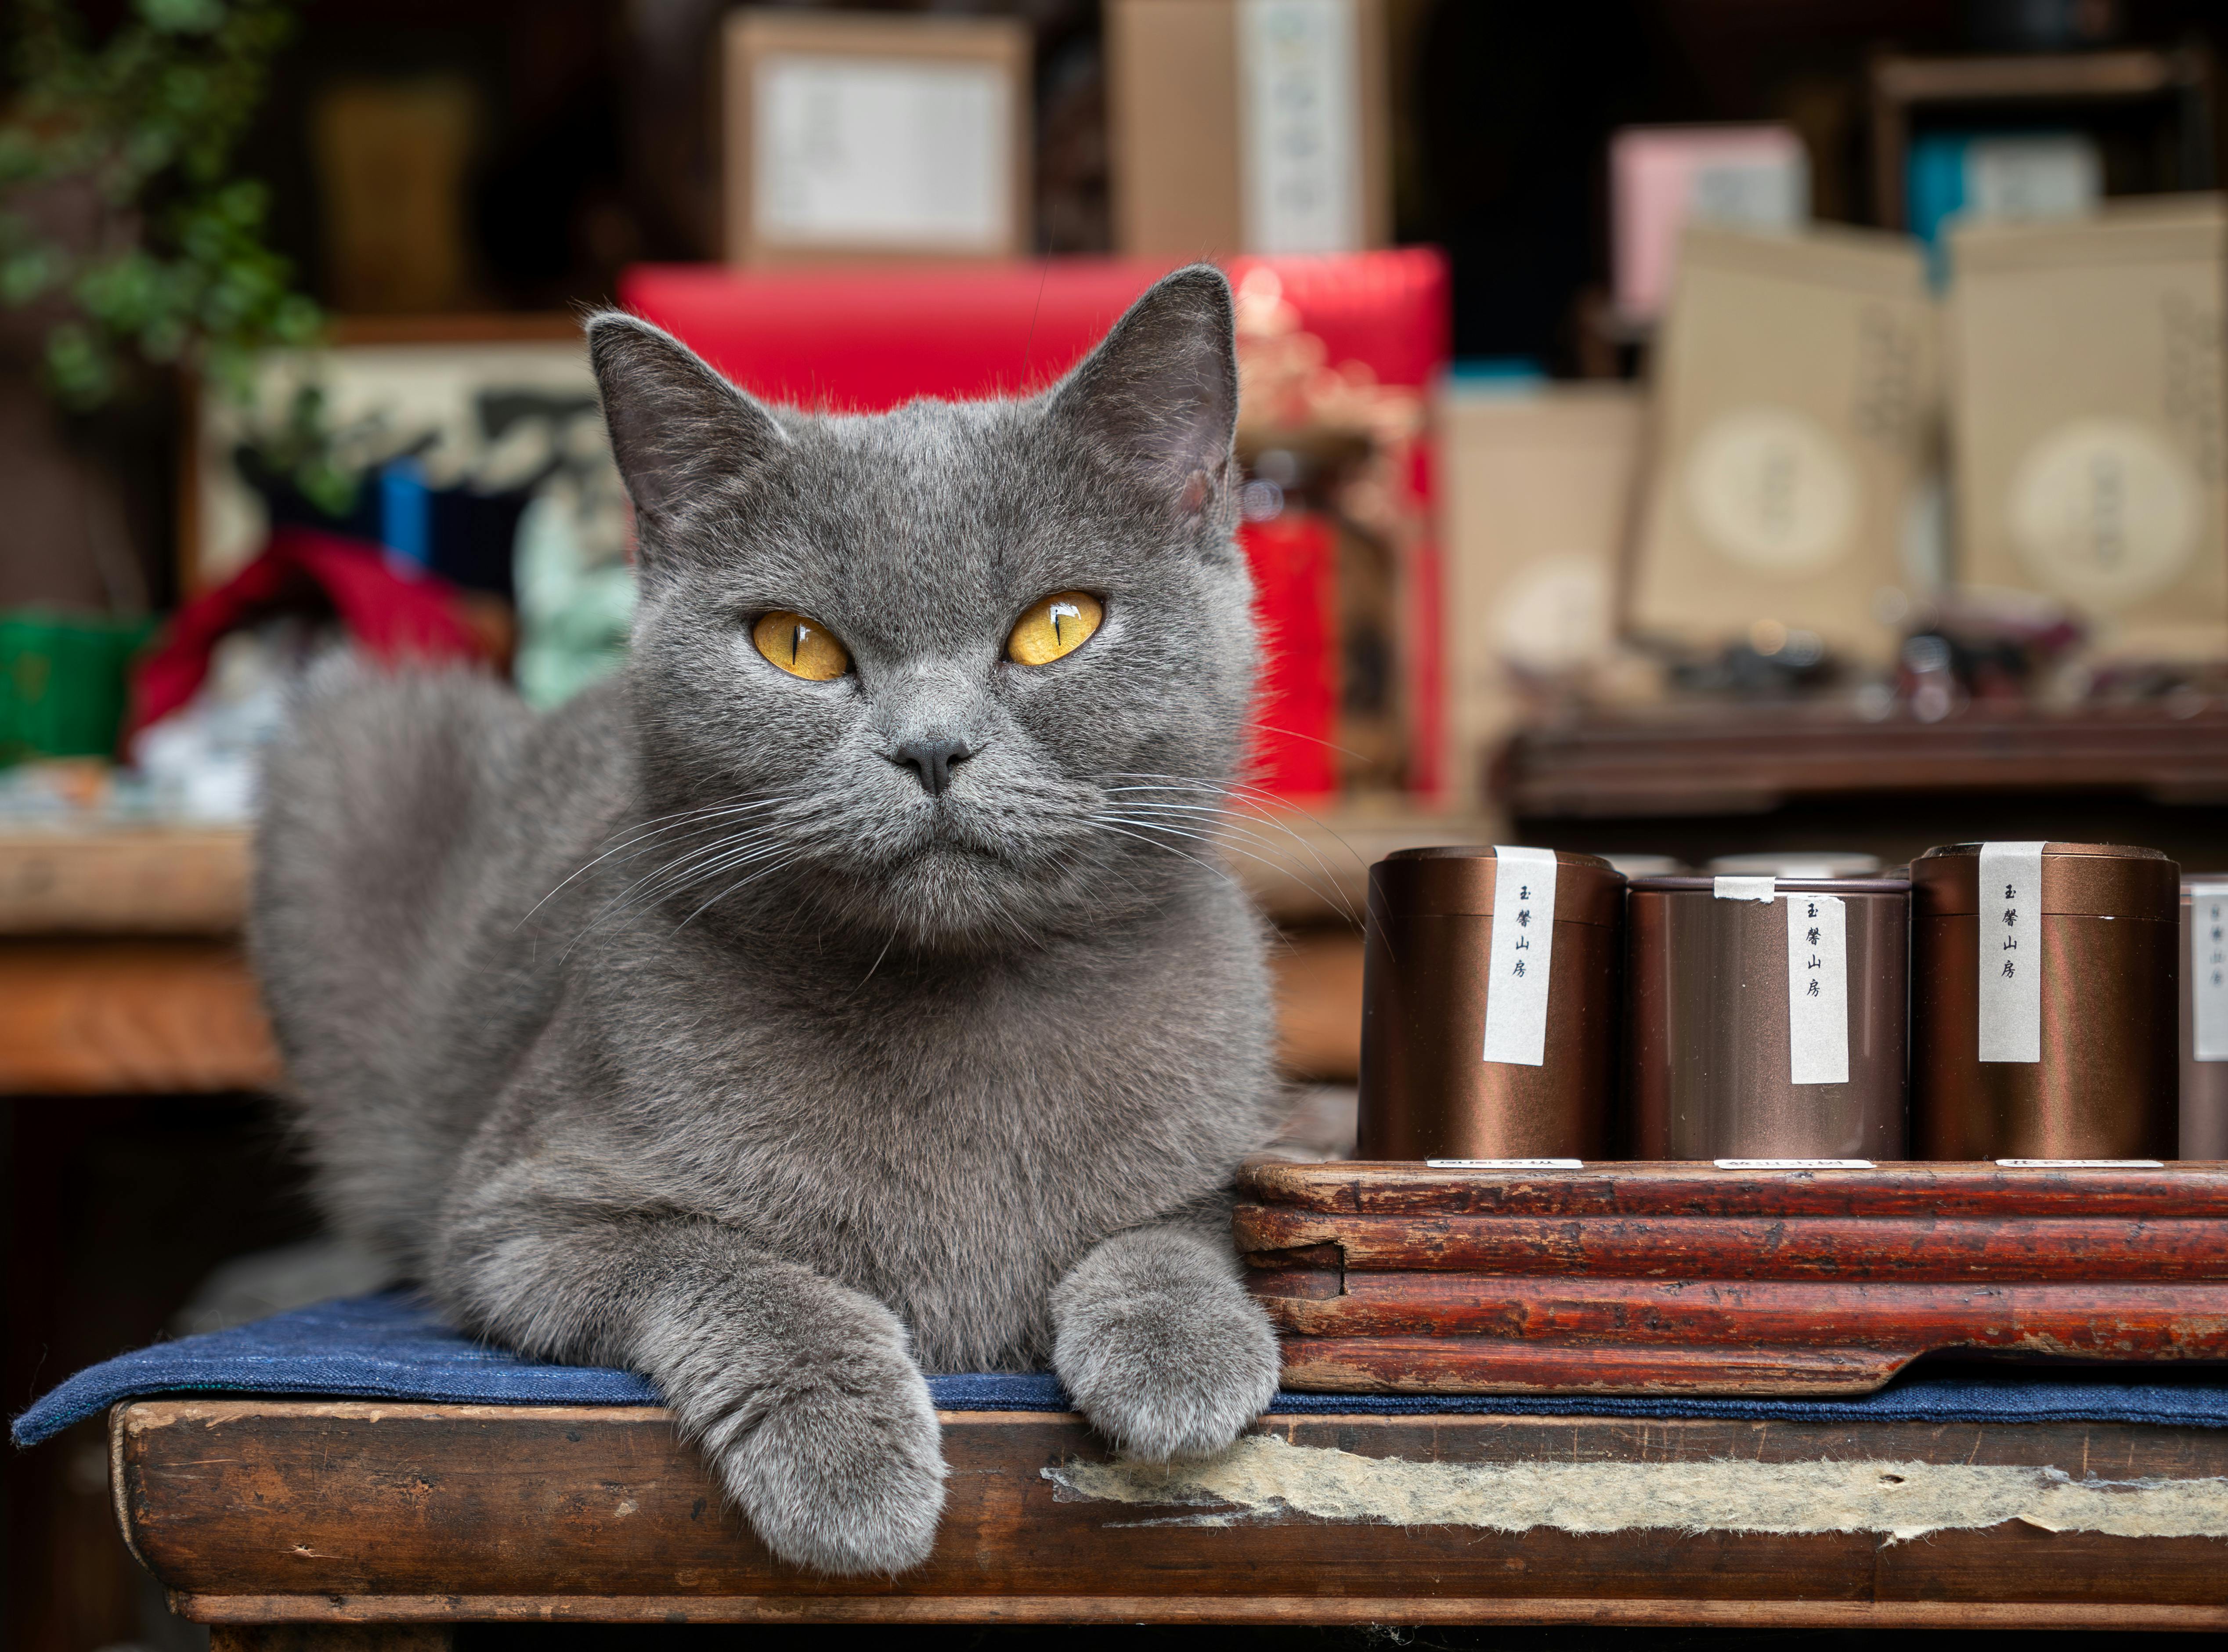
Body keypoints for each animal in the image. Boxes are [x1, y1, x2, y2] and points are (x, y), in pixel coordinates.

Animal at [250, 268, 1283, 1569]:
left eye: (1059, 624)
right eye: (795, 645)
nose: (931, 747)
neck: (961, 1009)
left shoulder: (1245, 1131)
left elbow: (1186, 1217)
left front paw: (1177, 1348)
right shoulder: (518, 1216)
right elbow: (725, 1264)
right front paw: (846, 1466)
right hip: (350, 752)